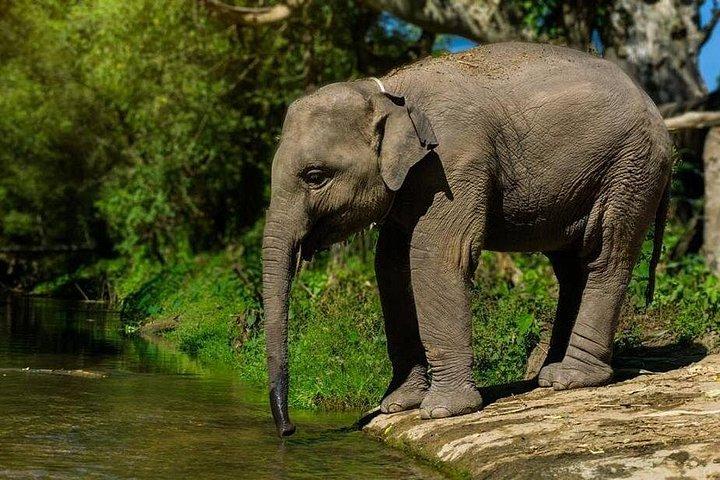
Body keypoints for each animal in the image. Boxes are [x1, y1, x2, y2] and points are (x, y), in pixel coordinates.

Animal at [262, 42, 672, 436]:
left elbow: (436, 258)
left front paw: (442, 411)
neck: (388, 92)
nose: (288, 429)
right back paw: (548, 376)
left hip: (630, 169)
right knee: (571, 268)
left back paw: (571, 379)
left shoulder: (453, 161)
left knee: (604, 256)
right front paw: (397, 405)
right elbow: (391, 267)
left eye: (315, 176)